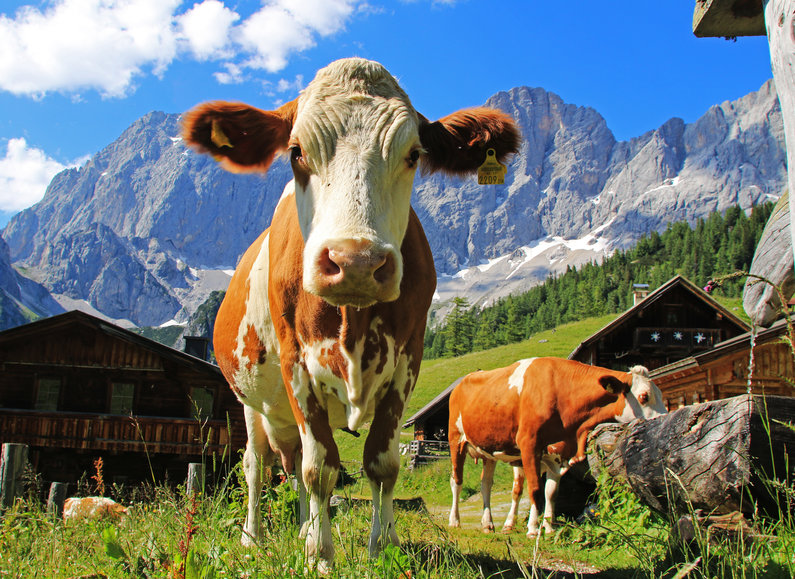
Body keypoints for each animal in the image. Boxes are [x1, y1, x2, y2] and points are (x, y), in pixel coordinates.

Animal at [182, 58, 520, 571]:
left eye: (414, 154)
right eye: (296, 151)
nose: (356, 260)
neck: (352, 323)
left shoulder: (407, 361)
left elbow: (383, 464)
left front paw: (382, 547)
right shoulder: (296, 362)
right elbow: (321, 468)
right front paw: (320, 557)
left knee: (293, 467)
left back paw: (309, 528)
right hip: (249, 402)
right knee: (260, 465)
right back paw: (253, 537)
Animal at [447, 357, 666, 537]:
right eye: (644, 396)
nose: (663, 419)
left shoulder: (558, 454)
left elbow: (551, 492)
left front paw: (549, 527)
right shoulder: (529, 445)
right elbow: (535, 489)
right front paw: (533, 529)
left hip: (488, 450)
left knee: (486, 484)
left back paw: (488, 524)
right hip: (456, 440)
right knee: (456, 481)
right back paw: (455, 521)